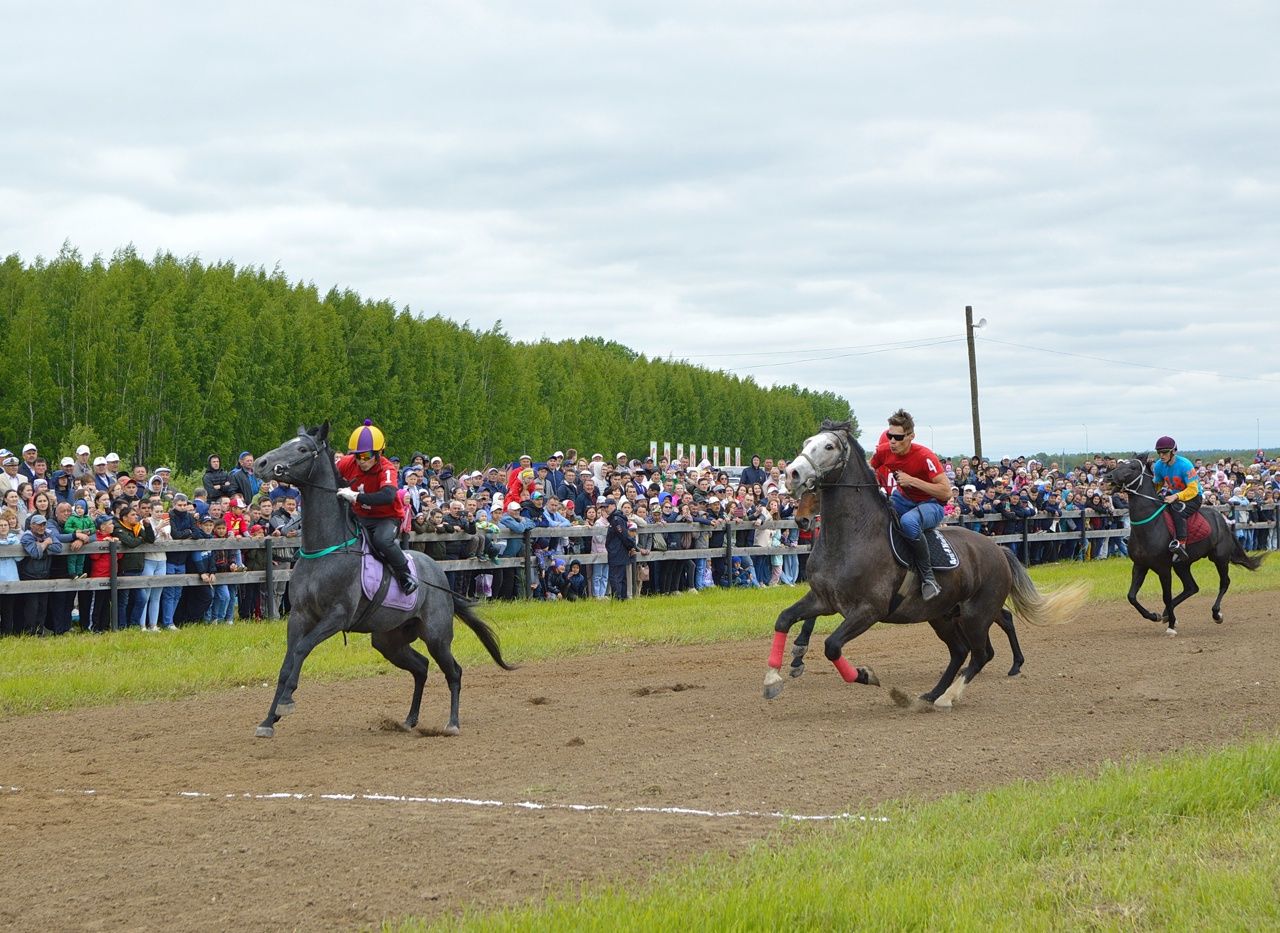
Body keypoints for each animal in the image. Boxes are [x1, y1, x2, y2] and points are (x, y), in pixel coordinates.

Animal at [252, 419, 512, 737]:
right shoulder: (299, 616)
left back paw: (452, 723)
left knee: (453, 670)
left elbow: (301, 649)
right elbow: (287, 663)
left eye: (301, 449)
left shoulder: (337, 616)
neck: (325, 550)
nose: (261, 463)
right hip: (389, 639)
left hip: (436, 635)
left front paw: (286, 702)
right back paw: (410, 719)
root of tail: (440, 575)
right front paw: (269, 719)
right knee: (421, 667)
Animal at [783, 488, 1024, 675]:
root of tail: (998, 548)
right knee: (996, 623)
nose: (801, 519)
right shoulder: (828, 596)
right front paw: (798, 654)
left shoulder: (864, 606)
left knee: (1004, 619)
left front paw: (798, 655)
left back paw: (1015, 663)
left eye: (814, 489)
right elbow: (809, 619)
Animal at [1105, 455, 1264, 637]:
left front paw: (1171, 626)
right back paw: (1166, 614)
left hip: (1220, 558)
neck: (1149, 526)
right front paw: (1155, 615)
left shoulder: (1163, 568)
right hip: (1182, 564)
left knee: (1224, 582)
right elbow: (1131, 596)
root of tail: (1222, 519)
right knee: (1191, 587)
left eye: (1132, 468)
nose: (1108, 477)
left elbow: (1166, 596)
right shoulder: (1140, 565)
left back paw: (1216, 614)